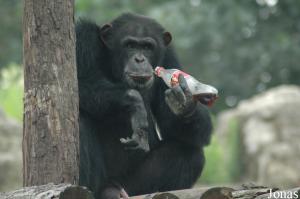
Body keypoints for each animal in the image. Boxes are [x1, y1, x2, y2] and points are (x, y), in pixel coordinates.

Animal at [77, 13, 213, 198]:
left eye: (148, 47)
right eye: (130, 45)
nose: (139, 59)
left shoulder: (169, 58)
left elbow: (173, 127)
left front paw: (185, 102)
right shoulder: (83, 37)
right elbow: (79, 81)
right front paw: (135, 103)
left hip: (134, 186)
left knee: (191, 154)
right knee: (79, 120)